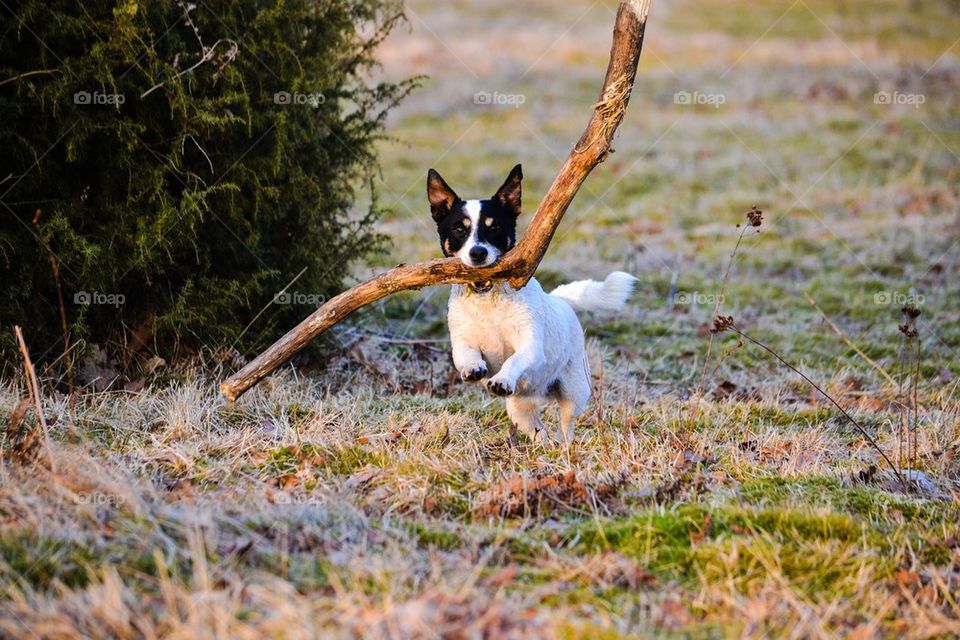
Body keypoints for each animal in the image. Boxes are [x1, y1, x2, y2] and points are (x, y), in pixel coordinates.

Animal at [428, 162, 636, 442]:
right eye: (459, 229)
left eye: (494, 228)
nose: (478, 253)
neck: (488, 302)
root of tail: (559, 299)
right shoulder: (463, 341)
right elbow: (465, 355)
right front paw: (474, 368)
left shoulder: (529, 346)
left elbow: (513, 360)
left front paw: (502, 379)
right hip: (520, 409)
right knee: (540, 432)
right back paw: (544, 444)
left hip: (574, 391)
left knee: (566, 425)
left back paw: (565, 445)